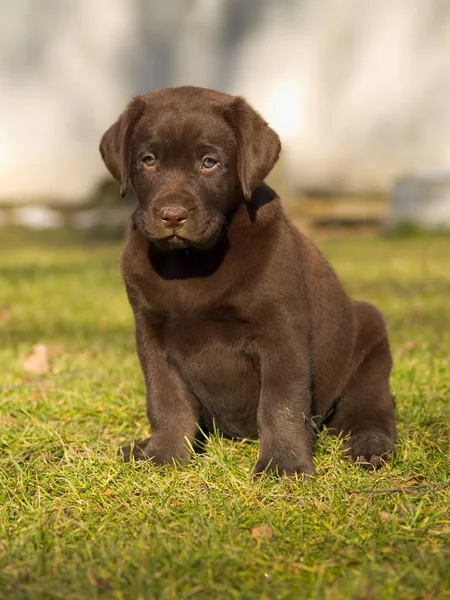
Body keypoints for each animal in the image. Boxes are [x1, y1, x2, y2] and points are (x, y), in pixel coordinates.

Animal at [100, 86, 396, 476]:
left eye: (209, 162)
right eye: (148, 160)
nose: (172, 215)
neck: (192, 260)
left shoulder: (280, 331)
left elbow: (281, 403)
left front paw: (283, 466)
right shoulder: (150, 333)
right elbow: (165, 400)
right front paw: (163, 456)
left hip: (371, 345)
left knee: (369, 409)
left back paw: (370, 445)